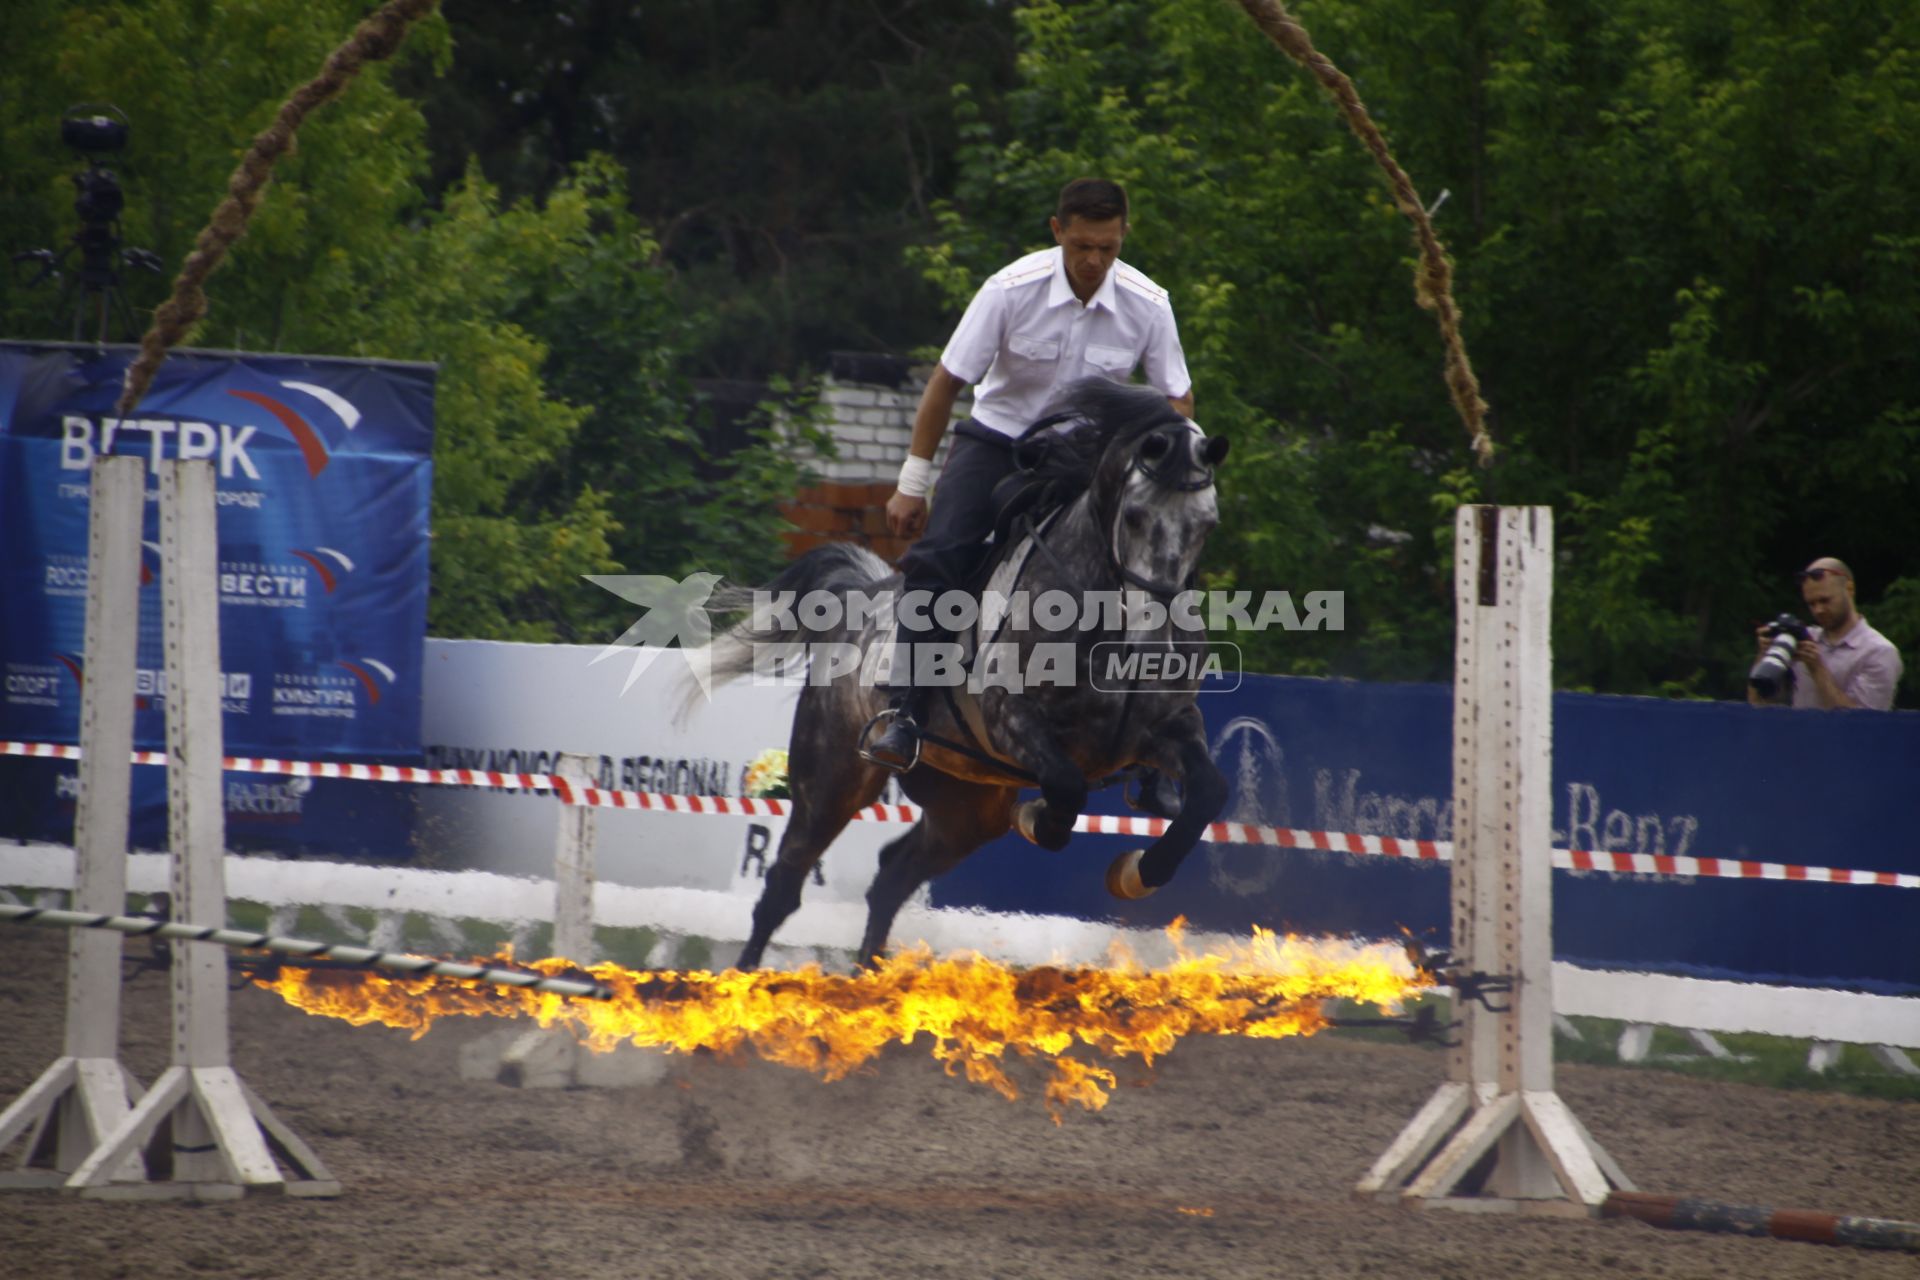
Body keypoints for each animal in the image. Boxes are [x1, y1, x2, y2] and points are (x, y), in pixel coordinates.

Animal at [706, 383, 1228, 971]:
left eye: (1207, 525)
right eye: (1135, 516)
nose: (1153, 640)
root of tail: (858, 600)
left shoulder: (1171, 725)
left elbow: (1207, 794)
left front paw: (1139, 872)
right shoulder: (1012, 720)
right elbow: (1066, 789)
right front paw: (1040, 820)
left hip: (967, 805)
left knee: (893, 874)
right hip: (832, 780)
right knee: (785, 883)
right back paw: (748, 980)